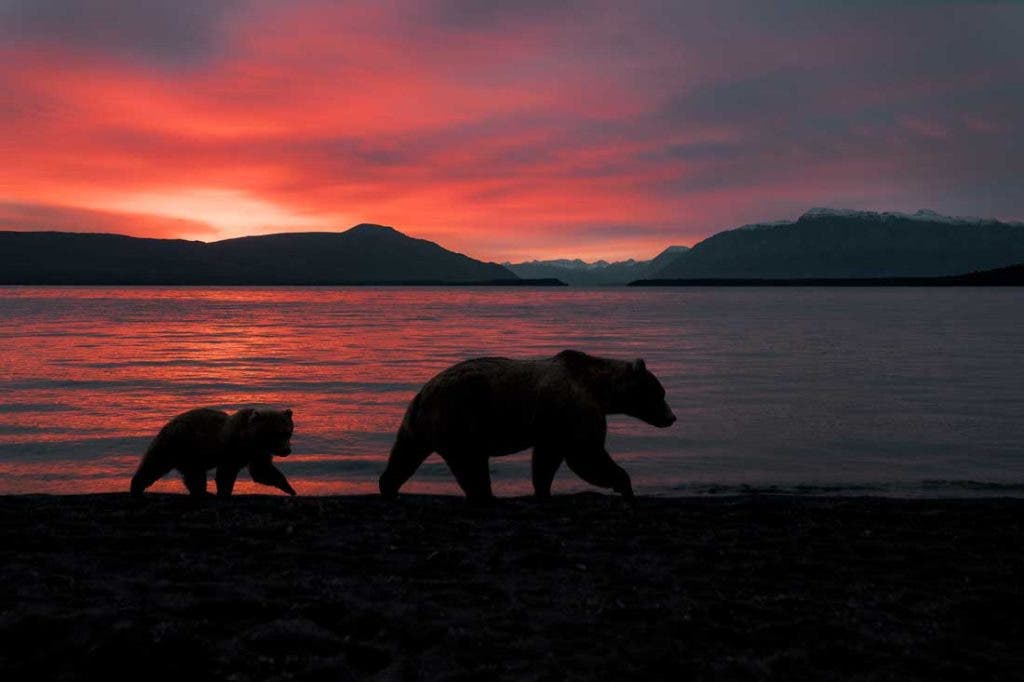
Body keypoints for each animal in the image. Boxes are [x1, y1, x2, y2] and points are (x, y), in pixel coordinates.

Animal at [129, 407, 296, 498]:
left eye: (288, 432)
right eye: (277, 434)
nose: (287, 450)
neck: (250, 439)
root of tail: (168, 423)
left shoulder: (256, 453)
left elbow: (262, 471)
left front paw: (290, 488)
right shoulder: (232, 448)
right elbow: (226, 473)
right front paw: (224, 492)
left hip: (190, 456)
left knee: (194, 476)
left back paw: (202, 492)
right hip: (177, 444)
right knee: (154, 464)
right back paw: (136, 487)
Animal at [379, 349, 676, 501]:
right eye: (660, 392)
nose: (672, 417)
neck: (601, 389)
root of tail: (422, 393)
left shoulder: (553, 427)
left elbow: (546, 461)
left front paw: (542, 491)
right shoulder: (575, 411)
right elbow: (586, 456)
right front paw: (624, 484)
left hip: (418, 426)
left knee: (404, 454)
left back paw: (388, 486)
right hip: (461, 417)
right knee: (470, 464)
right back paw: (485, 496)